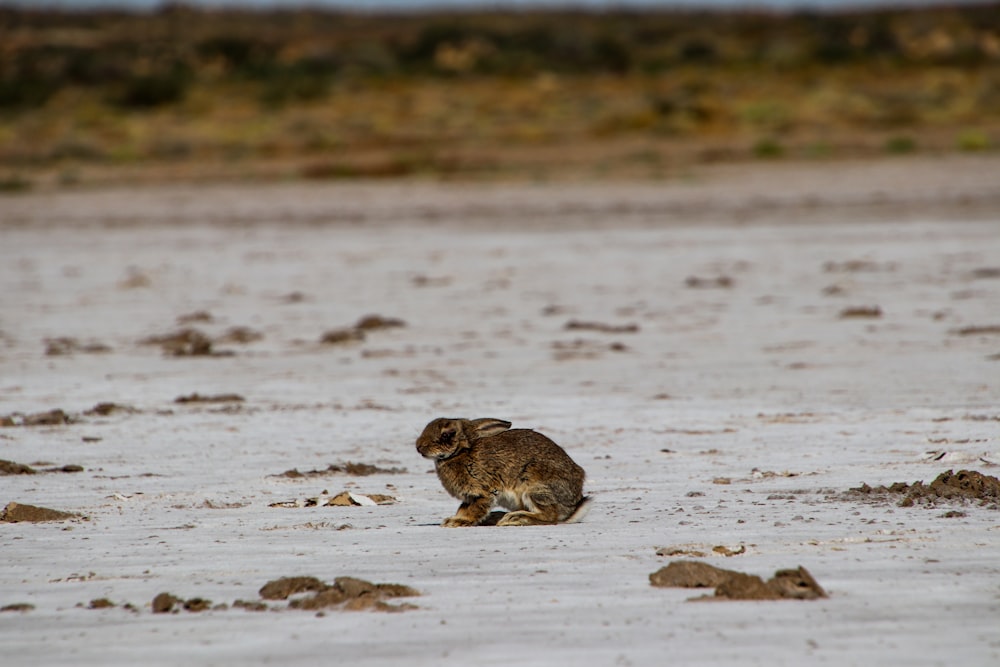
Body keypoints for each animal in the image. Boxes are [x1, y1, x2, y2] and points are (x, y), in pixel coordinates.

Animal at [412, 418, 588, 528]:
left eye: (446, 434)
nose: (419, 447)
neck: (461, 452)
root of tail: (574, 506)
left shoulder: (483, 491)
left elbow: (473, 510)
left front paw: (456, 522)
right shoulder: (470, 496)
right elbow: (463, 508)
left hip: (535, 485)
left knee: (550, 515)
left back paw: (515, 518)